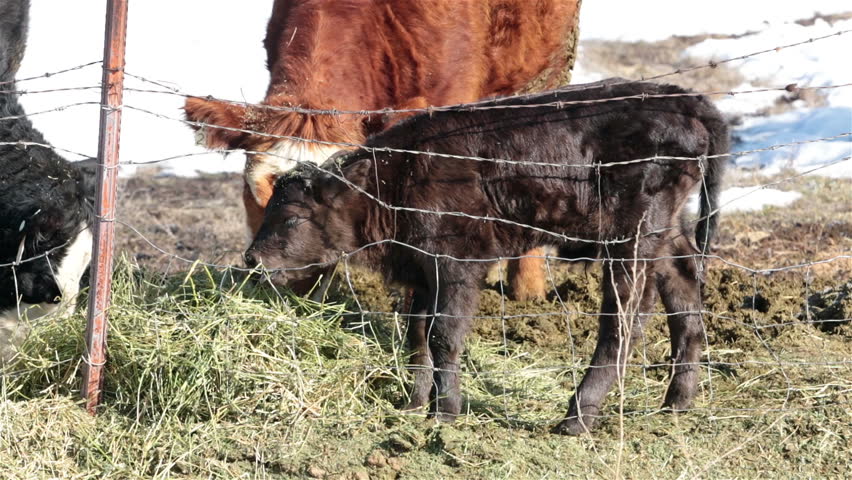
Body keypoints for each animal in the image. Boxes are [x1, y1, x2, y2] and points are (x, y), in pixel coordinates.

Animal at [243, 78, 729, 434]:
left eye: (292, 218)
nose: (252, 260)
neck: (397, 179)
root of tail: (686, 99)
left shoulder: (456, 264)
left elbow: (443, 334)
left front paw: (445, 412)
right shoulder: (423, 269)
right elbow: (417, 335)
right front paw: (414, 404)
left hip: (630, 240)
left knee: (624, 318)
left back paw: (577, 418)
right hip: (663, 234)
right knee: (683, 290)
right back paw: (676, 403)